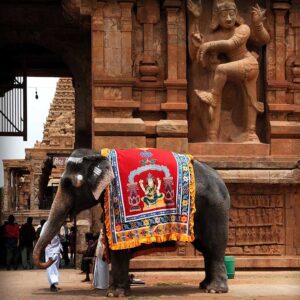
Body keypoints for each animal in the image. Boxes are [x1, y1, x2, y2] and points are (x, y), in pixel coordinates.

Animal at [32, 148, 230, 296]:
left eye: (70, 185)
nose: (51, 258)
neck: (98, 154)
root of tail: (223, 182)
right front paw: (121, 290)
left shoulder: (115, 200)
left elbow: (118, 247)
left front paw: (115, 294)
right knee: (206, 249)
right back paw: (204, 286)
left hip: (215, 209)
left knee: (213, 247)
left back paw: (215, 290)